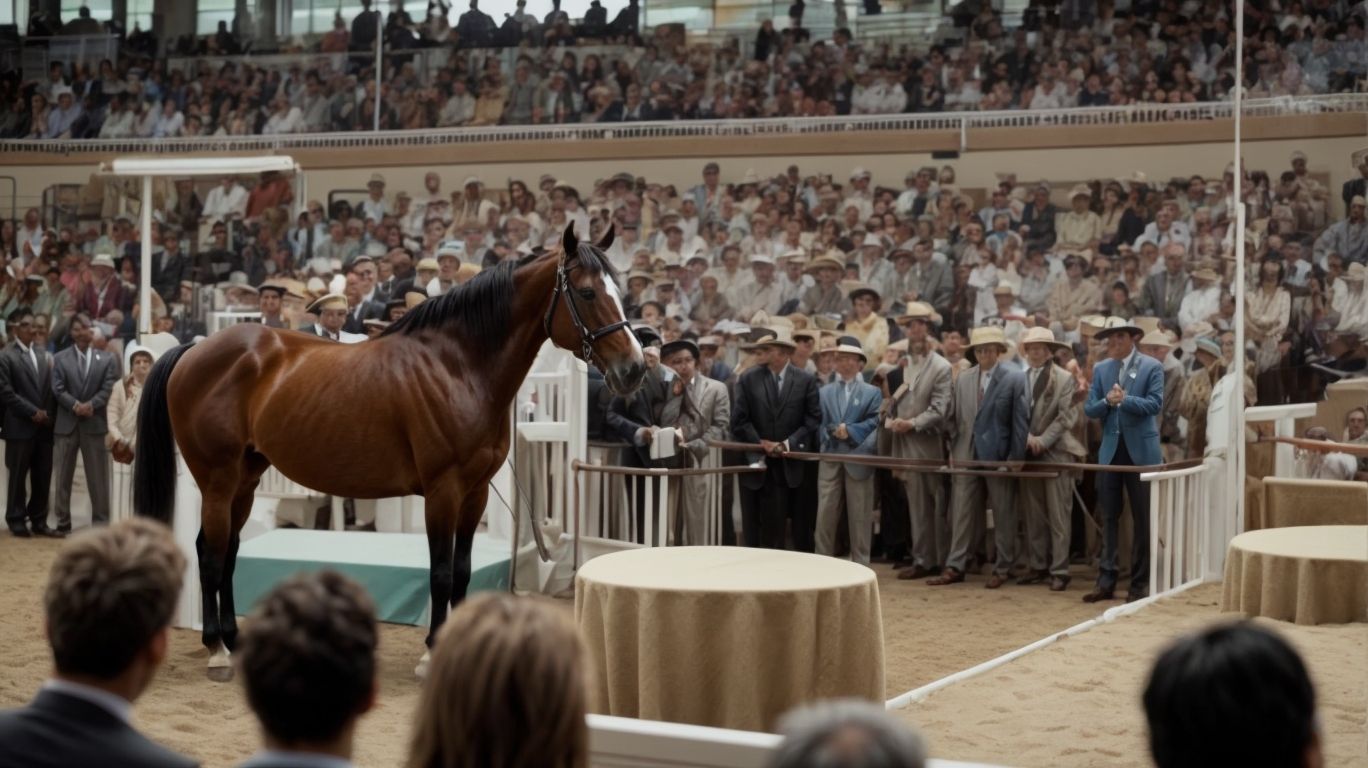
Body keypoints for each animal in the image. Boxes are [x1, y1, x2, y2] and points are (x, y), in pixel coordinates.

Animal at [133, 227, 644, 680]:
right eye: (586, 292)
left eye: (620, 292)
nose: (634, 369)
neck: (456, 366)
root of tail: (195, 348)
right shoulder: (443, 491)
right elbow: (440, 574)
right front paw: (430, 653)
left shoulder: (475, 492)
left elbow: (462, 572)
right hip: (217, 479)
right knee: (211, 553)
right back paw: (217, 650)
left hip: (246, 476)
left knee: (228, 551)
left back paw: (234, 641)